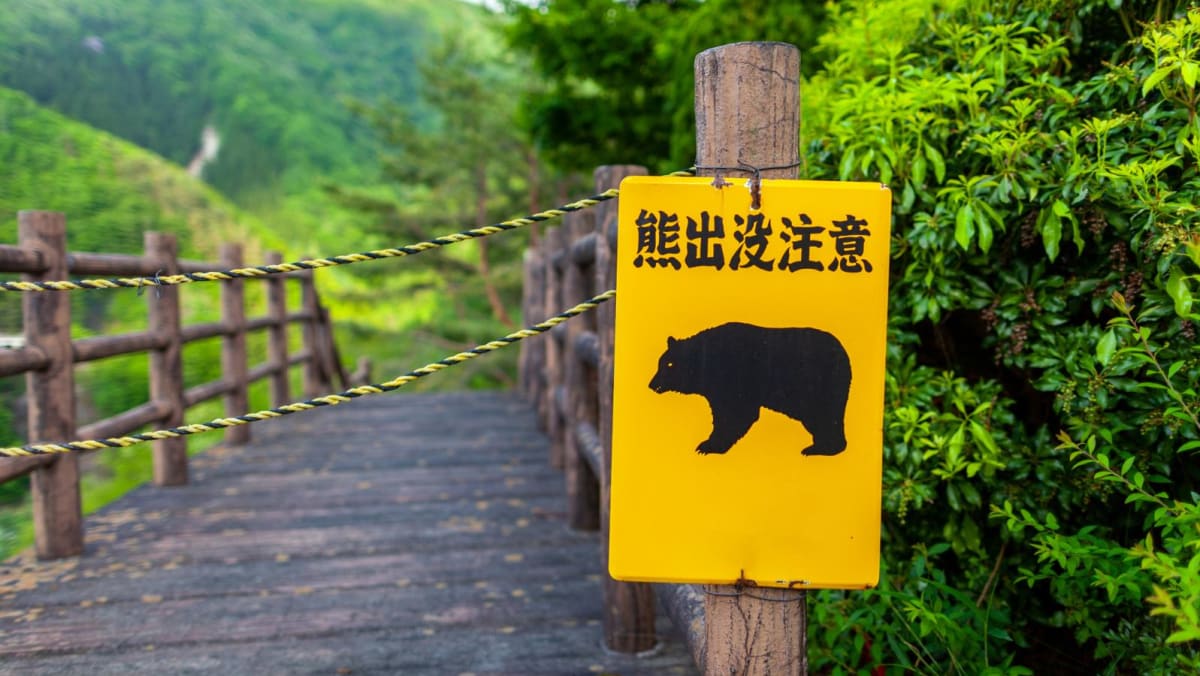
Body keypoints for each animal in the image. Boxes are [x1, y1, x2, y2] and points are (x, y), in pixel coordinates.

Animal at [648, 322, 852, 456]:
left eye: (669, 364)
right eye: (660, 363)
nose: (651, 384)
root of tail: (843, 352)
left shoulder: (734, 380)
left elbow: (737, 414)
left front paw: (708, 445)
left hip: (819, 387)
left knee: (825, 416)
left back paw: (821, 449)